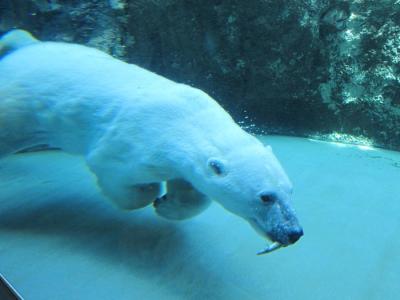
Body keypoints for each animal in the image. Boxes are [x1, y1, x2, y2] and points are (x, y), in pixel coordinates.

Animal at [0, 29, 302, 253]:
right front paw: (150, 194)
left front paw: (168, 203)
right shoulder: (136, 143)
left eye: (290, 190)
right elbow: (115, 171)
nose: (294, 232)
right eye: (266, 197)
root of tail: (24, 48)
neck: (188, 119)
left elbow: (193, 192)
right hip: (19, 102)